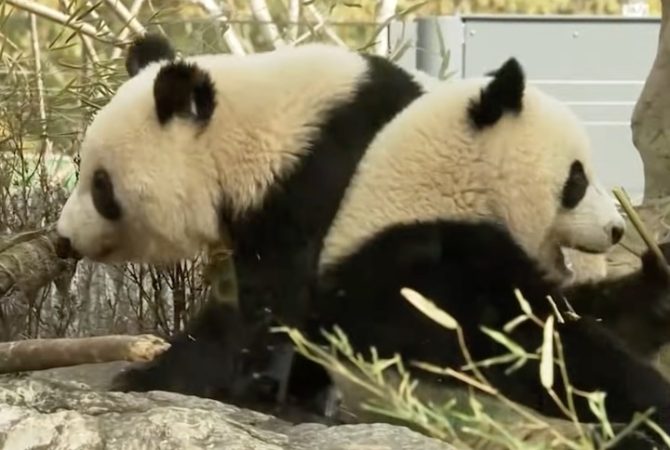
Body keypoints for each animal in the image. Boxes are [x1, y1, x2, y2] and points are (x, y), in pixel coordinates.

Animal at [281, 58, 670, 445]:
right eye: (577, 179)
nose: (617, 230)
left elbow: (590, 314)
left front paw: (660, 275)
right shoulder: (425, 270)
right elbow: (537, 347)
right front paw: (655, 401)